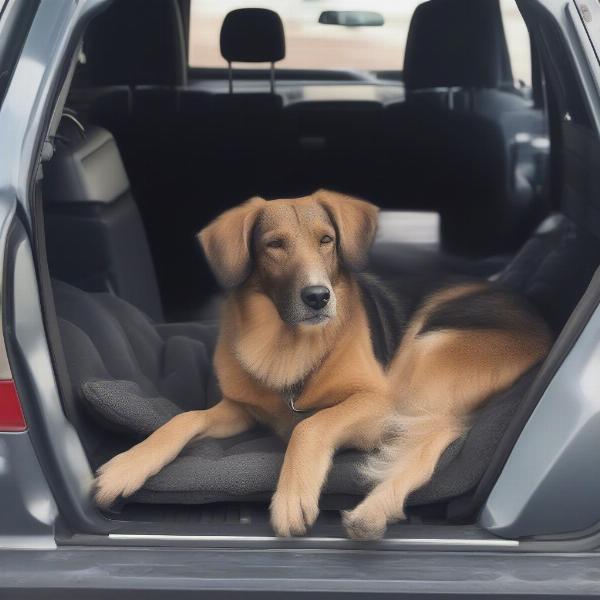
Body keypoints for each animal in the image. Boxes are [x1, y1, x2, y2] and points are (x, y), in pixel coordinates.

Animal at [95, 189, 552, 540]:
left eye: (327, 240)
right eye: (274, 244)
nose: (318, 297)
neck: (287, 344)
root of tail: (543, 330)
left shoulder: (377, 401)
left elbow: (309, 426)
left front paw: (292, 496)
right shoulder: (241, 410)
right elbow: (183, 419)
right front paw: (128, 466)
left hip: (425, 348)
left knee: (429, 436)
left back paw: (371, 509)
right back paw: (373, 513)